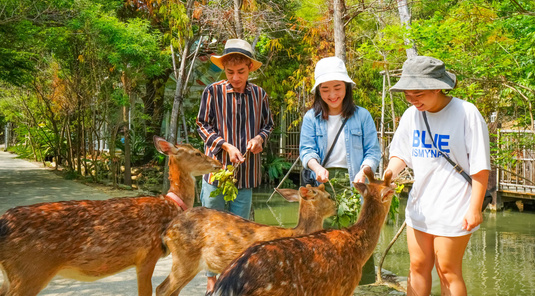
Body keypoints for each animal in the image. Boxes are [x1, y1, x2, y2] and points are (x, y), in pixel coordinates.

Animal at [157, 184, 338, 294]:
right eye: (329, 196)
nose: (337, 206)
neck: (295, 232)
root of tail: (167, 232)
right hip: (184, 258)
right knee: (162, 289)